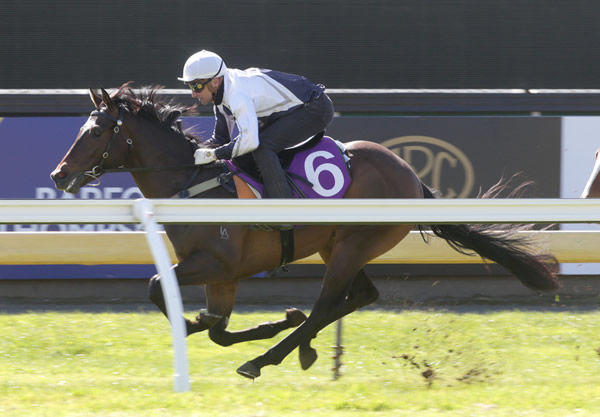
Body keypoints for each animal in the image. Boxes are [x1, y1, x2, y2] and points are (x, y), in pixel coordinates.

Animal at [49, 83, 560, 376]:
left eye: (96, 131)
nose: (58, 175)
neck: (193, 183)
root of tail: (411, 175)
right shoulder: (223, 275)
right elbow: (216, 328)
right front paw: (250, 322)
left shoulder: (216, 263)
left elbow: (160, 287)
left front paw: (202, 325)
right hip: (339, 246)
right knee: (360, 296)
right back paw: (302, 348)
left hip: (354, 245)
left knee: (329, 302)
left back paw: (266, 358)